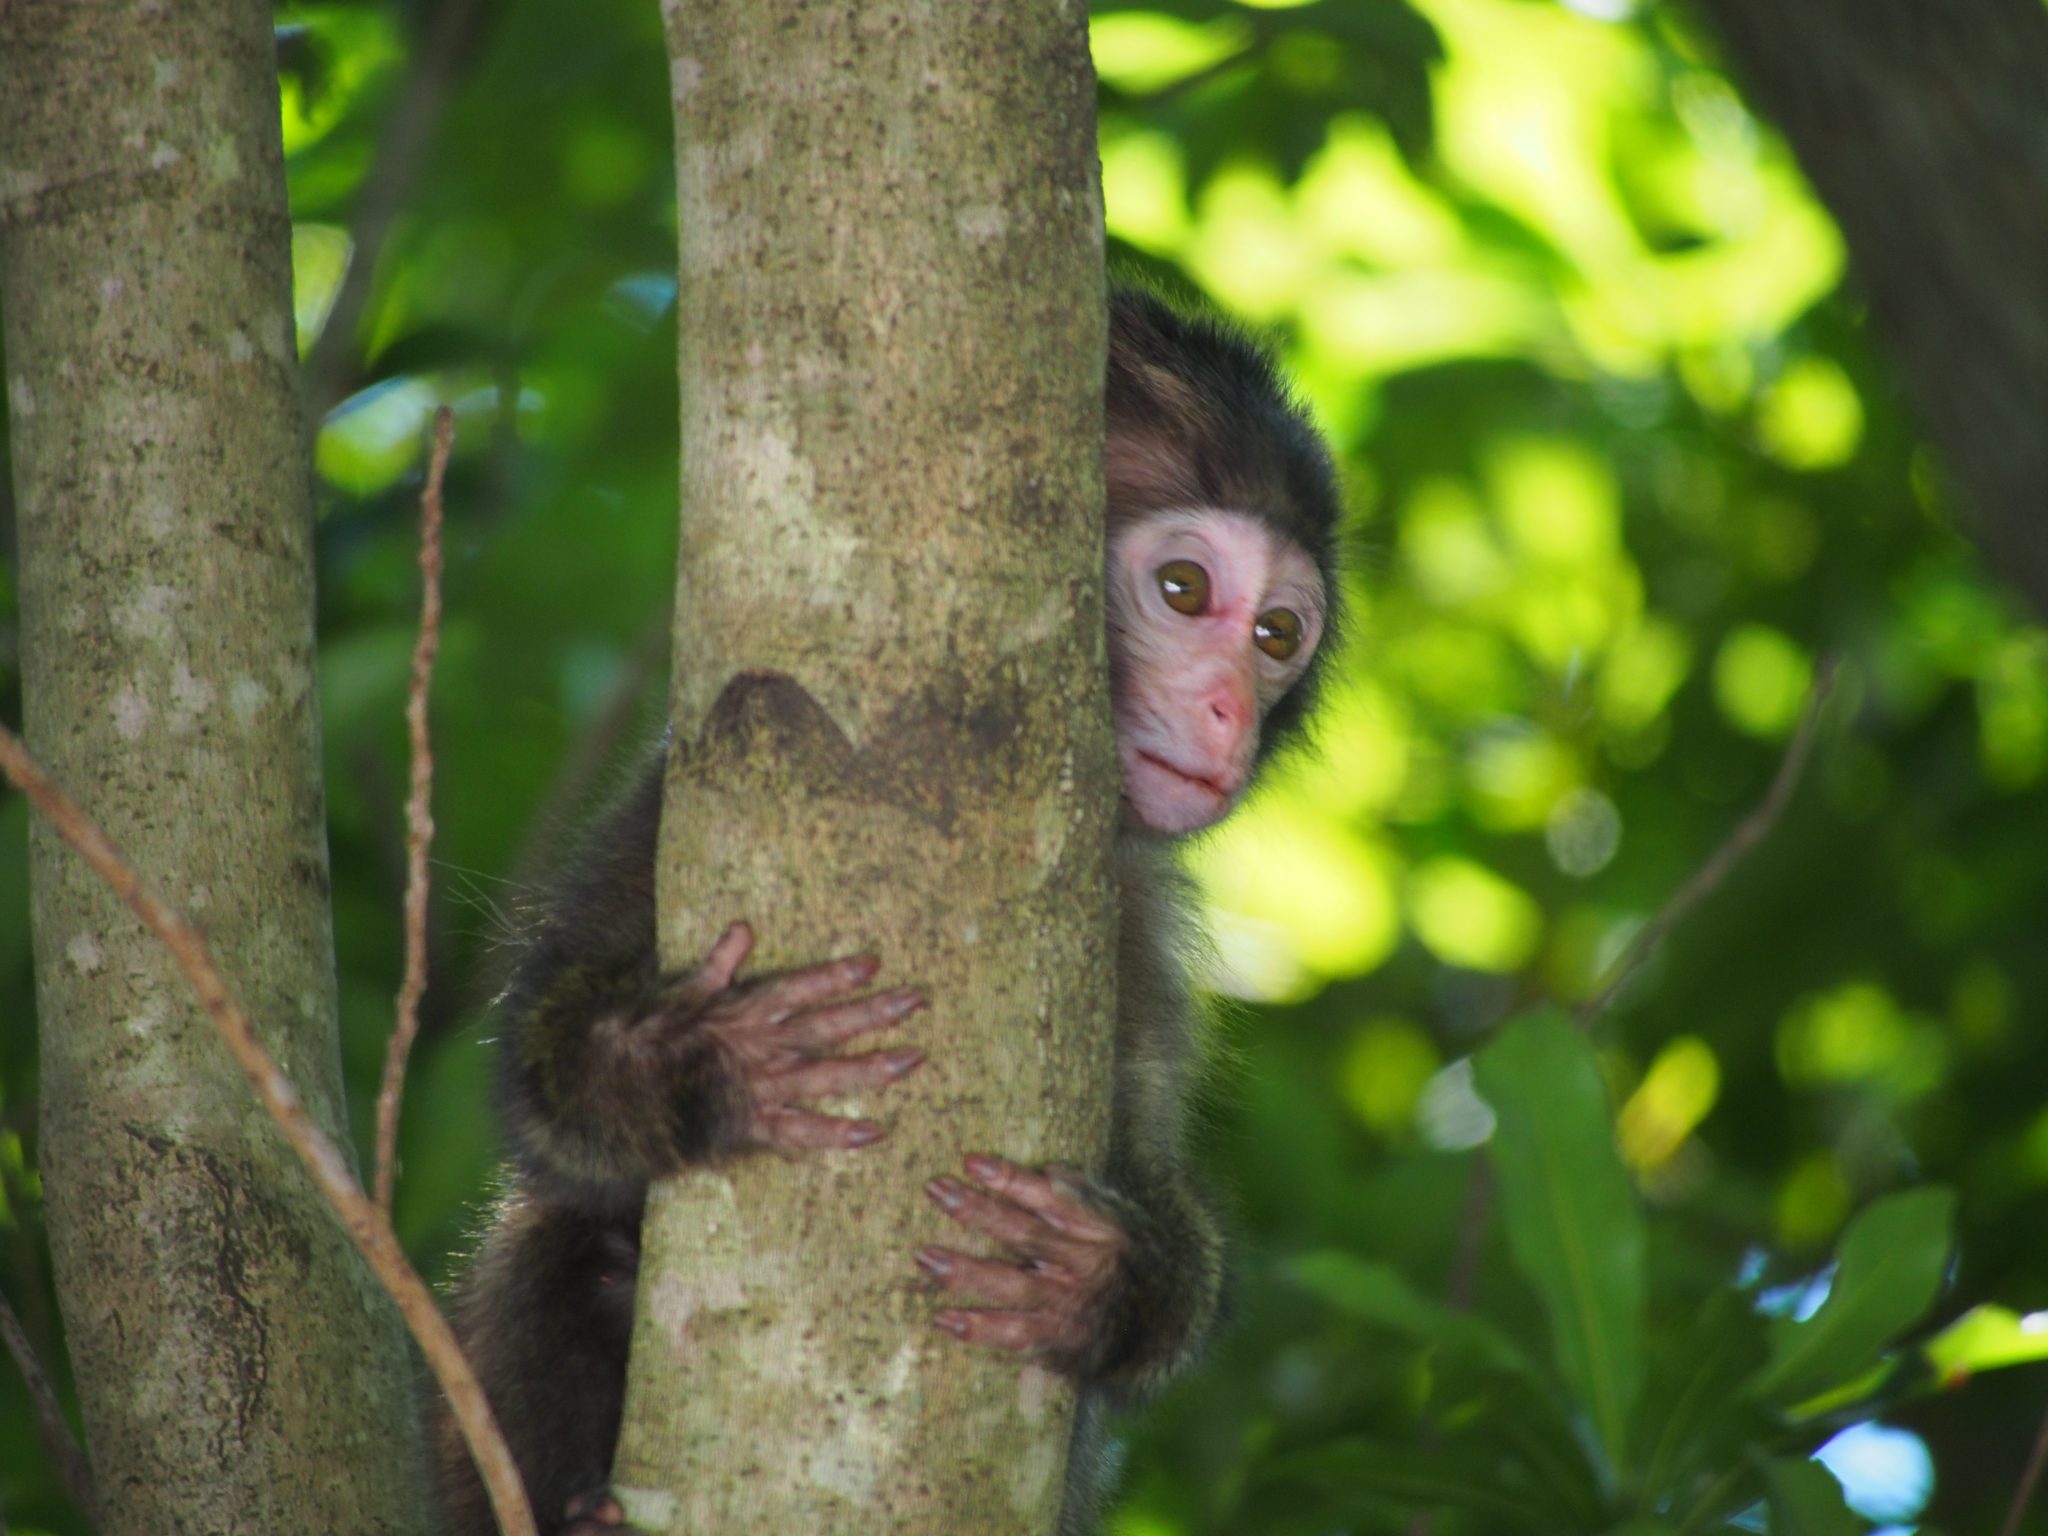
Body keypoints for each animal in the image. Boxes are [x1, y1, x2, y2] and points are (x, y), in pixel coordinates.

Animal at [432, 288, 1343, 1536]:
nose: (1227, 712)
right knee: (554, 1242)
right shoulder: (671, 801)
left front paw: (1115, 1277)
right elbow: (545, 1089)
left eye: (1275, 638)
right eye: (1184, 591)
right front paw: (698, 1062)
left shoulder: (1137, 925)